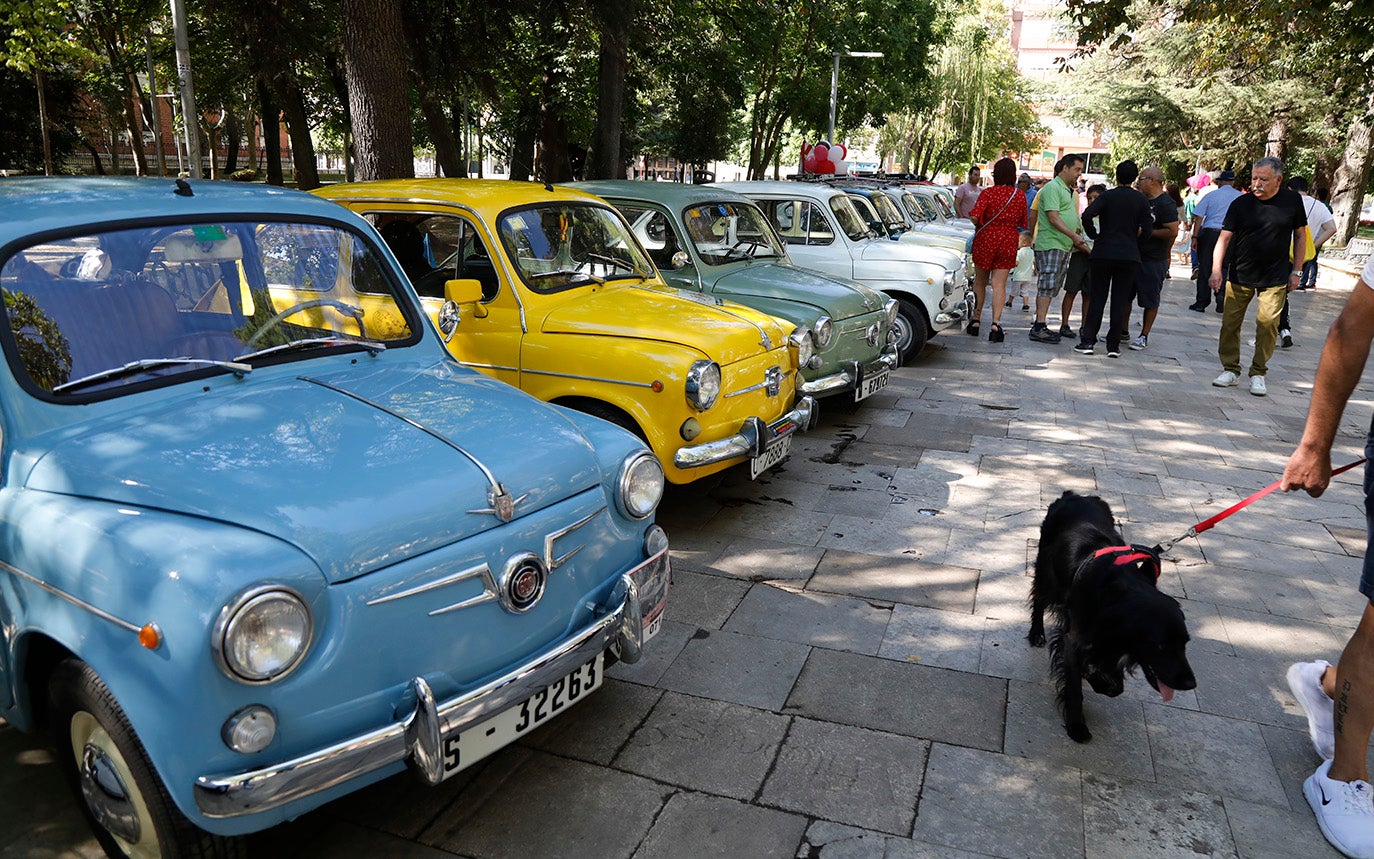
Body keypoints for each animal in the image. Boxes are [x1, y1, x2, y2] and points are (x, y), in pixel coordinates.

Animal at [1027, 492, 1198, 742]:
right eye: (1160, 646)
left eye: (1185, 644)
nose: (1190, 684)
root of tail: (1074, 495)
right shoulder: (1075, 639)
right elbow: (1075, 686)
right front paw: (1077, 726)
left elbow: (1112, 679)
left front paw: (1100, 679)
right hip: (1048, 574)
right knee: (1039, 598)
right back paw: (1036, 633)